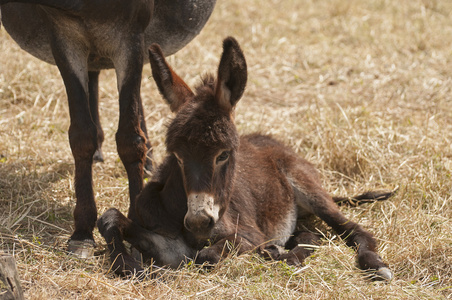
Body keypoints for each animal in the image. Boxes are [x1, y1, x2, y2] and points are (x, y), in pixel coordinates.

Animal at [98, 36, 392, 280]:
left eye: (224, 155)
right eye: (178, 157)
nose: (198, 222)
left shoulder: (247, 234)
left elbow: (208, 255)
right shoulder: (165, 242)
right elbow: (109, 218)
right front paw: (128, 265)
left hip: (308, 188)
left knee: (353, 229)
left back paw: (374, 264)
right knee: (311, 234)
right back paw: (285, 253)